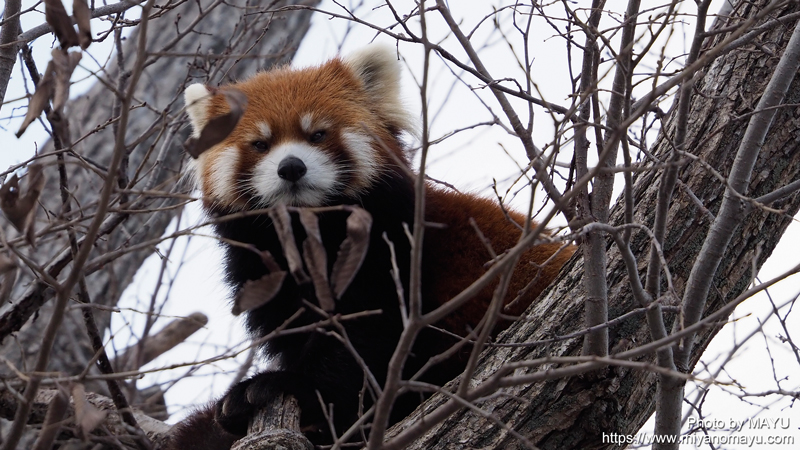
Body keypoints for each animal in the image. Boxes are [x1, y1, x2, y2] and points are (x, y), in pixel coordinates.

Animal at [167, 44, 568, 448]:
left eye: (317, 134)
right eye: (260, 144)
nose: (291, 167)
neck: (310, 228)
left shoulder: (392, 252)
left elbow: (363, 346)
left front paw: (289, 387)